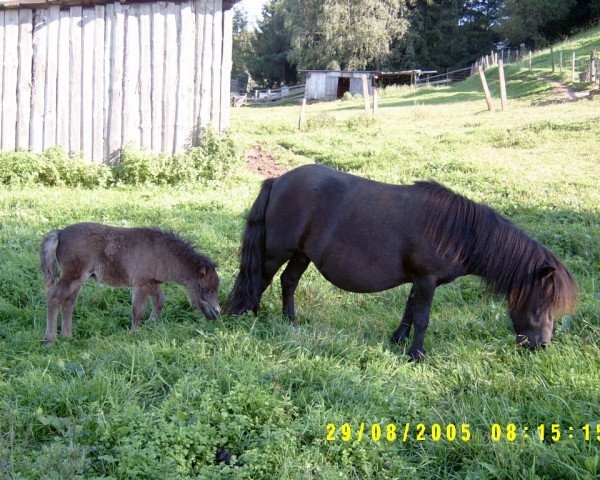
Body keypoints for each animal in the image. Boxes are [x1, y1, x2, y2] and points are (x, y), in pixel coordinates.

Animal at [224, 165, 576, 360]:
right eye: (542, 300)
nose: (542, 345)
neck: (456, 230)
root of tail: (278, 180)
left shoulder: (419, 280)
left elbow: (408, 312)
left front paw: (397, 341)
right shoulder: (427, 279)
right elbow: (421, 318)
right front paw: (416, 355)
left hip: (301, 254)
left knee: (288, 282)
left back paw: (291, 322)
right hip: (276, 252)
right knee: (260, 281)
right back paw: (250, 317)